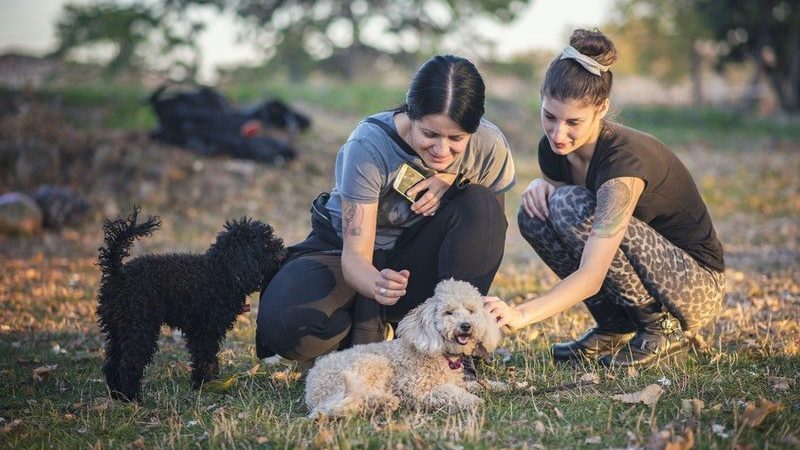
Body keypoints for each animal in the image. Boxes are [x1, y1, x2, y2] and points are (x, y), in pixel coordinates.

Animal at [96, 207, 284, 400]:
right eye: (266, 245)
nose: (282, 252)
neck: (223, 271)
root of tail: (118, 273)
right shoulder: (204, 330)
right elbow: (205, 359)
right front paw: (206, 384)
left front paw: (207, 383)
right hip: (138, 327)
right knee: (129, 363)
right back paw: (132, 397)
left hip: (118, 327)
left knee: (112, 363)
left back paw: (117, 394)